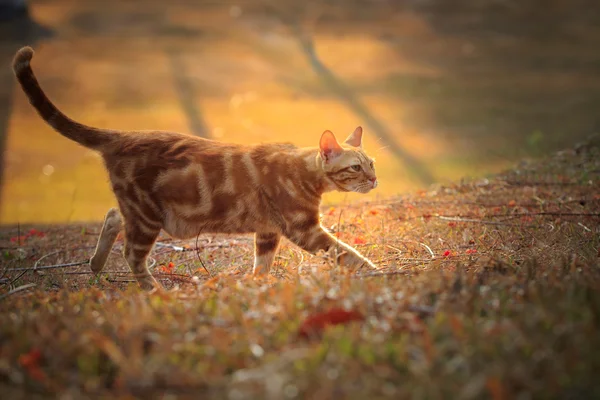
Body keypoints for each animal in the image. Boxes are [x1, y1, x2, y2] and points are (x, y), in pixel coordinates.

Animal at [12, 47, 380, 290]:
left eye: (372, 164)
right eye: (356, 168)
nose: (375, 180)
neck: (302, 170)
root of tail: (124, 135)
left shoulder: (268, 231)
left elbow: (262, 264)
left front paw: (256, 287)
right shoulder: (304, 229)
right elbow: (347, 253)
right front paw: (378, 273)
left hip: (141, 213)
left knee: (113, 215)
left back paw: (95, 263)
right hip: (148, 216)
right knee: (132, 253)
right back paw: (152, 290)